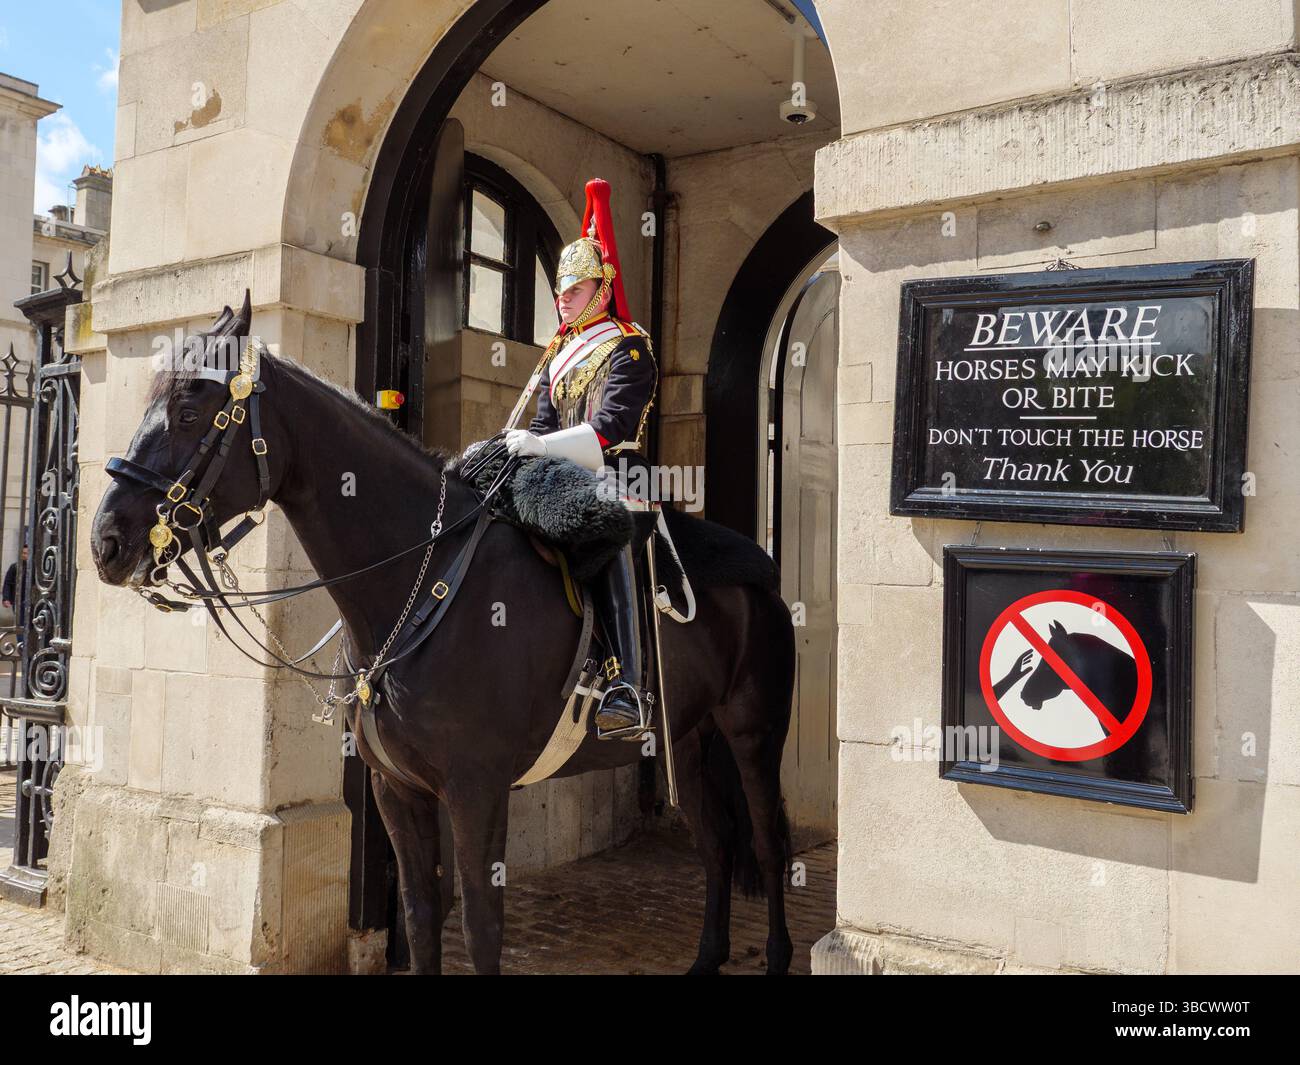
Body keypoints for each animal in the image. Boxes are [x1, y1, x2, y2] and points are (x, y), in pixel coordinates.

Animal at [89, 298, 798, 975]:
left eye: (187, 411)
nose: (106, 543)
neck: (420, 582)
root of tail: (761, 570)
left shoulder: (477, 789)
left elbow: (481, 929)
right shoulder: (396, 789)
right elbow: (421, 912)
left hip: (752, 734)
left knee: (767, 843)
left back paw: (778, 954)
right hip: (690, 738)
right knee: (716, 844)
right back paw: (706, 956)